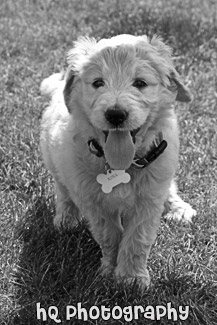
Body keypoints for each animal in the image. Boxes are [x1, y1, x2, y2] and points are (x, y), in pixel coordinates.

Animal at [39, 34, 196, 284]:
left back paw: (178, 208)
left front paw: (131, 278)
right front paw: (111, 270)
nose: (115, 114)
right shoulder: (92, 200)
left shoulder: (149, 198)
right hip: (54, 161)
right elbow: (109, 234)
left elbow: (137, 238)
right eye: (97, 83)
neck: (123, 165)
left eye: (140, 83)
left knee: (170, 188)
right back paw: (66, 219)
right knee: (63, 191)